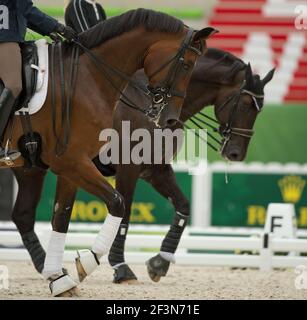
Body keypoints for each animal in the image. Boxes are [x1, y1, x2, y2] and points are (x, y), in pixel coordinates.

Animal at [0, 8, 217, 298]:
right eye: (187, 64)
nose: (170, 119)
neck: (88, 77)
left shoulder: (71, 166)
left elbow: (62, 217)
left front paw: (60, 280)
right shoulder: (76, 162)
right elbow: (118, 204)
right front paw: (89, 262)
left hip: (30, 170)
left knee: (23, 216)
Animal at [9, 48, 274, 290]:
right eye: (246, 104)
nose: (236, 154)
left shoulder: (156, 170)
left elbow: (183, 206)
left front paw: (160, 262)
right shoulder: (129, 168)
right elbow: (124, 213)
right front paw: (121, 267)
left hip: (32, 169)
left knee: (22, 215)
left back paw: (49, 268)